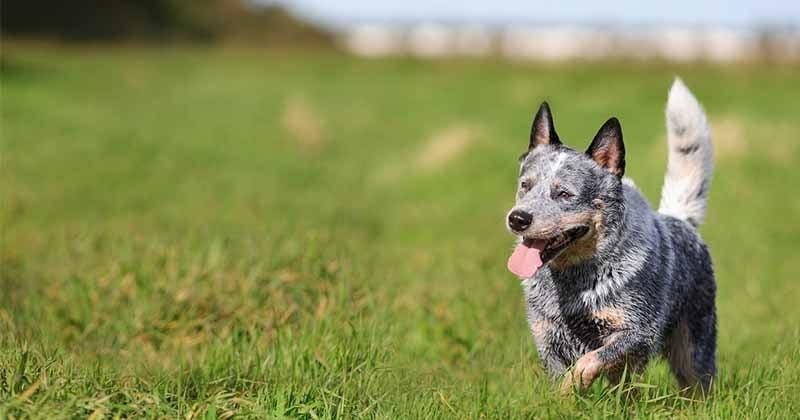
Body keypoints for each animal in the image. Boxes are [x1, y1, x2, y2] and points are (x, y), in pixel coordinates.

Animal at [504, 79, 716, 394]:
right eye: (524, 186)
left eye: (564, 194)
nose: (517, 219)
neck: (573, 280)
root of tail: (679, 219)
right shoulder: (546, 339)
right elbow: (561, 379)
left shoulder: (637, 331)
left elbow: (591, 360)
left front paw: (578, 382)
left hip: (694, 350)